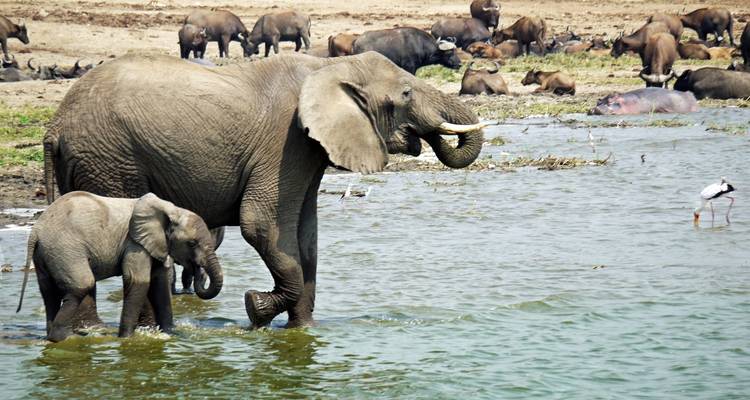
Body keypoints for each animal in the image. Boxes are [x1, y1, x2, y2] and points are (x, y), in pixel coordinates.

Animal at [16, 191, 223, 342]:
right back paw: (65, 338)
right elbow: (138, 281)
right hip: (65, 249)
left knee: (49, 292)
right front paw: (127, 339)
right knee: (82, 284)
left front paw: (169, 334)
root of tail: (36, 231)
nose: (198, 271)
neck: (171, 210)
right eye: (192, 243)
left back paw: (53, 337)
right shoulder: (134, 244)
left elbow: (159, 282)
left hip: (46, 253)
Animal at [44, 52, 486, 329]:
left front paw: (303, 332)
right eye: (407, 94)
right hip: (112, 160)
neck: (329, 67)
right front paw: (255, 309)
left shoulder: (308, 149)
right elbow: (262, 225)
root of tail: (55, 125)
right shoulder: (286, 141)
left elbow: (305, 236)